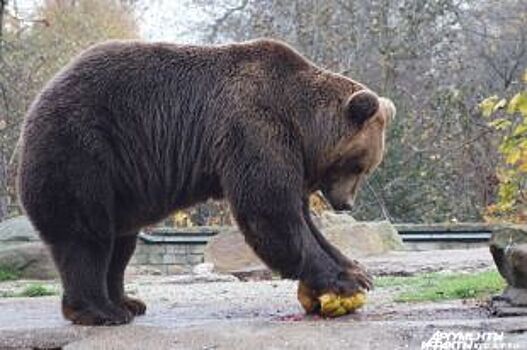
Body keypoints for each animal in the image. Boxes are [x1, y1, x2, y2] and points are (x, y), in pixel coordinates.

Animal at [17, 38, 396, 326]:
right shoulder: (254, 128)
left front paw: (356, 269)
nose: (346, 203)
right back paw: (101, 311)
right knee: (87, 235)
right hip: (83, 151)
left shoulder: (289, 154)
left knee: (120, 243)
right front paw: (345, 280)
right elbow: (270, 213)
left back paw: (128, 302)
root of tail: (36, 103)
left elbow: (302, 220)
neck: (301, 124)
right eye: (358, 165)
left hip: (120, 183)